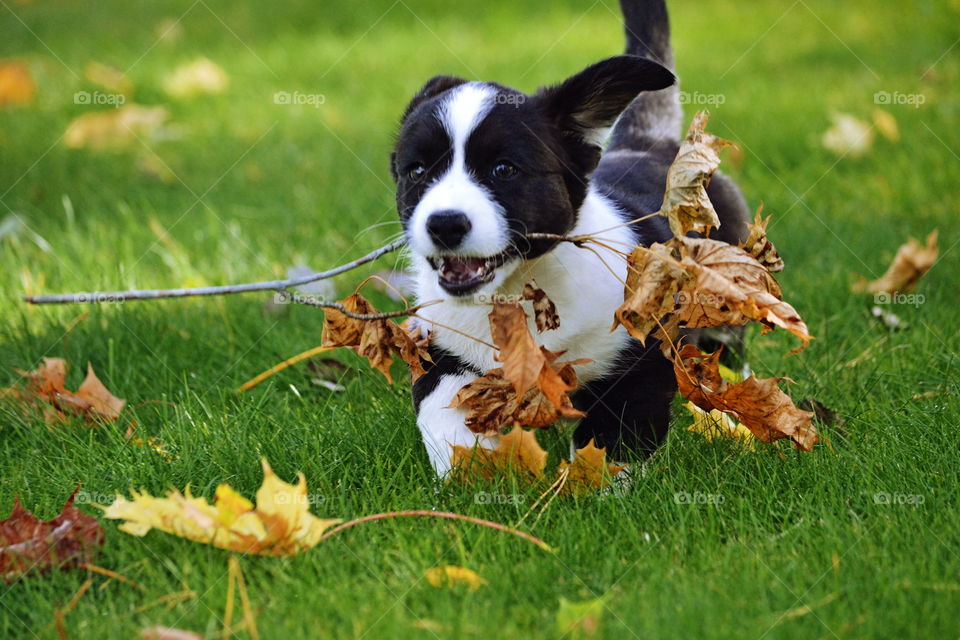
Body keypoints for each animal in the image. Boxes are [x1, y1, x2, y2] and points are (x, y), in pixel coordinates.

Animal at [390, 0, 752, 476]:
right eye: (417, 171)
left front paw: (589, 486)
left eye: (504, 169)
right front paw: (469, 477)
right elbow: (444, 417)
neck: (518, 295)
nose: (444, 224)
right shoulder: (441, 351)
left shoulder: (640, 361)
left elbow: (613, 445)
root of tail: (650, 142)